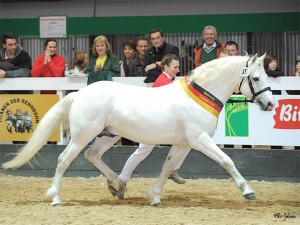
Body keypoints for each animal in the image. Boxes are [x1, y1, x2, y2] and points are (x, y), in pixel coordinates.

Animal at [1, 53, 274, 207]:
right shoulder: (199, 140)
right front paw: (248, 191)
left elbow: (167, 168)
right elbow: (227, 161)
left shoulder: (182, 143)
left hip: (108, 136)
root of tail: (79, 93)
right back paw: (55, 197)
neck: (200, 95)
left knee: (92, 155)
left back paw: (116, 185)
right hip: (81, 136)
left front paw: (154, 196)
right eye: (256, 78)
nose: (270, 104)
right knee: (64, 160)